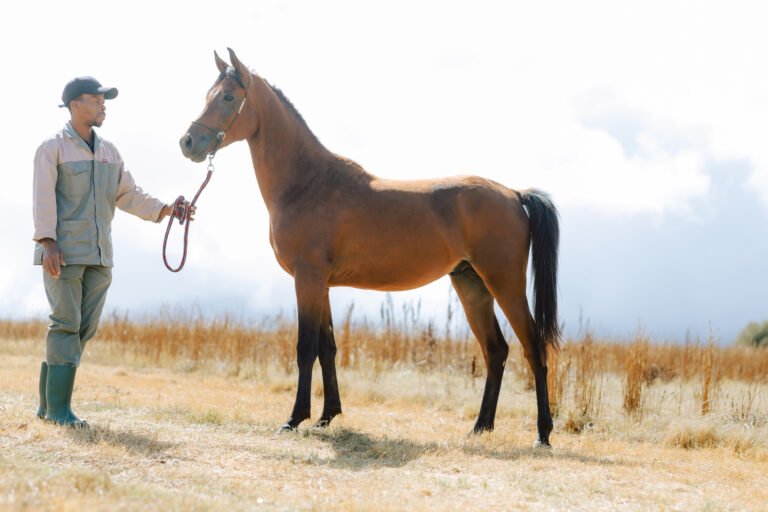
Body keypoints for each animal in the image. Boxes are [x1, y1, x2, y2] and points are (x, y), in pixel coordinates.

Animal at [182, 49, 564, 448]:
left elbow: (305, 348)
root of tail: (514, 194)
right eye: (208, 93)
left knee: (533, 348)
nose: (188, 142)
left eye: (228, 97)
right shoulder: (322, 284)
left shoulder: (307, 279)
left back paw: (542, 434)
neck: (308, 183)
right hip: (471, 284)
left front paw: (294, 418)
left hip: (505, 284)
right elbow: (327, 348)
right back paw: (480, 427)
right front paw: (326, 416)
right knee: (495, 350)